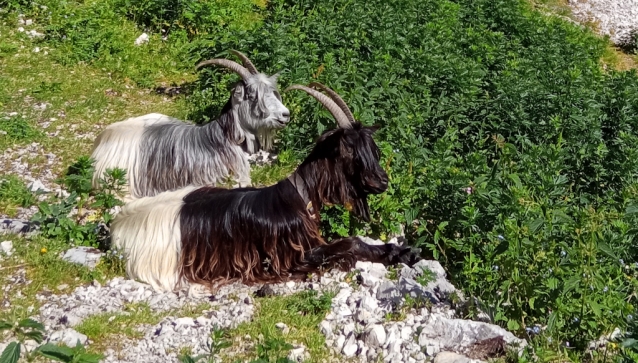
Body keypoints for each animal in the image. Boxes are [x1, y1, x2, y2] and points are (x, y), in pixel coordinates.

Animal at [111, 82, 420, 292]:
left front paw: (403, 251)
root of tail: (118, 228)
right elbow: (350, 243)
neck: (300, 197)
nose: (382, 181)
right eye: (351, 152)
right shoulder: (296, 256)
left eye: (373, 149)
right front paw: (400, 253)